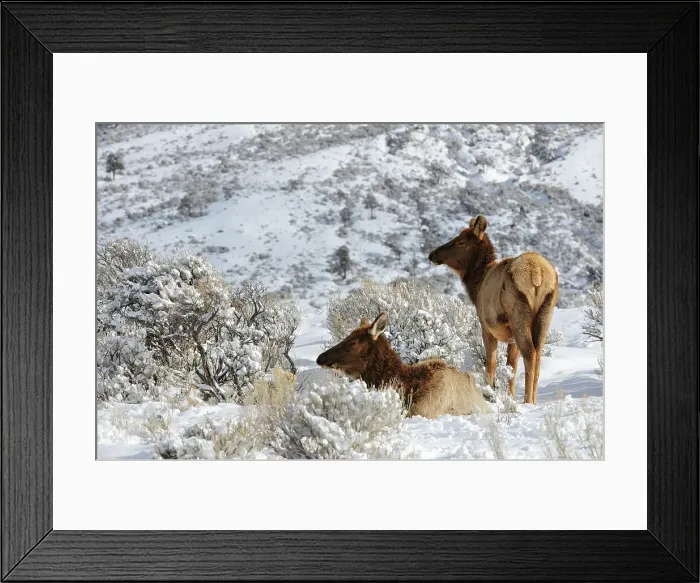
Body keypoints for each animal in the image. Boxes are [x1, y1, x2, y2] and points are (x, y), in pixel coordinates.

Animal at [428, 215, 559, 404]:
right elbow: (511, 367)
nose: (432, 254)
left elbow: (491, 364)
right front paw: (510, 396)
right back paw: (533, 400)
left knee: (529, 353)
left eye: (461, 241)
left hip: (518, 314)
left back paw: (527, 401)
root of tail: (537, 273)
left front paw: (488, 393)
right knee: (538, 354)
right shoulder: (511, 339)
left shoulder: (486, 328)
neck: (476, 285)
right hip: (545, 313)